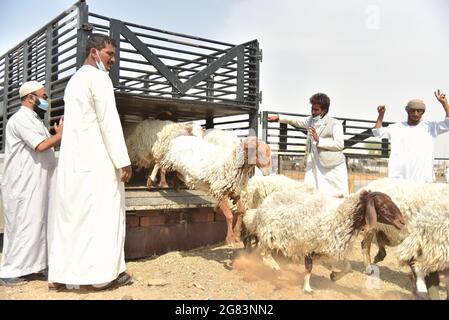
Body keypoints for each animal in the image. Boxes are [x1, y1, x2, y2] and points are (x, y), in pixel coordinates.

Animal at [243, 188, 404, 296]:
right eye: (382, 206)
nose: (402, 221)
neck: (341, 215)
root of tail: (261, 207)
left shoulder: (331, 247)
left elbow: (348, 267)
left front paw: (334, 275)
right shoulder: (309, 245)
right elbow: (309, 268)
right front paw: (307, 288)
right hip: (269, 235)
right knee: (264, 253)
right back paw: (274, 266)